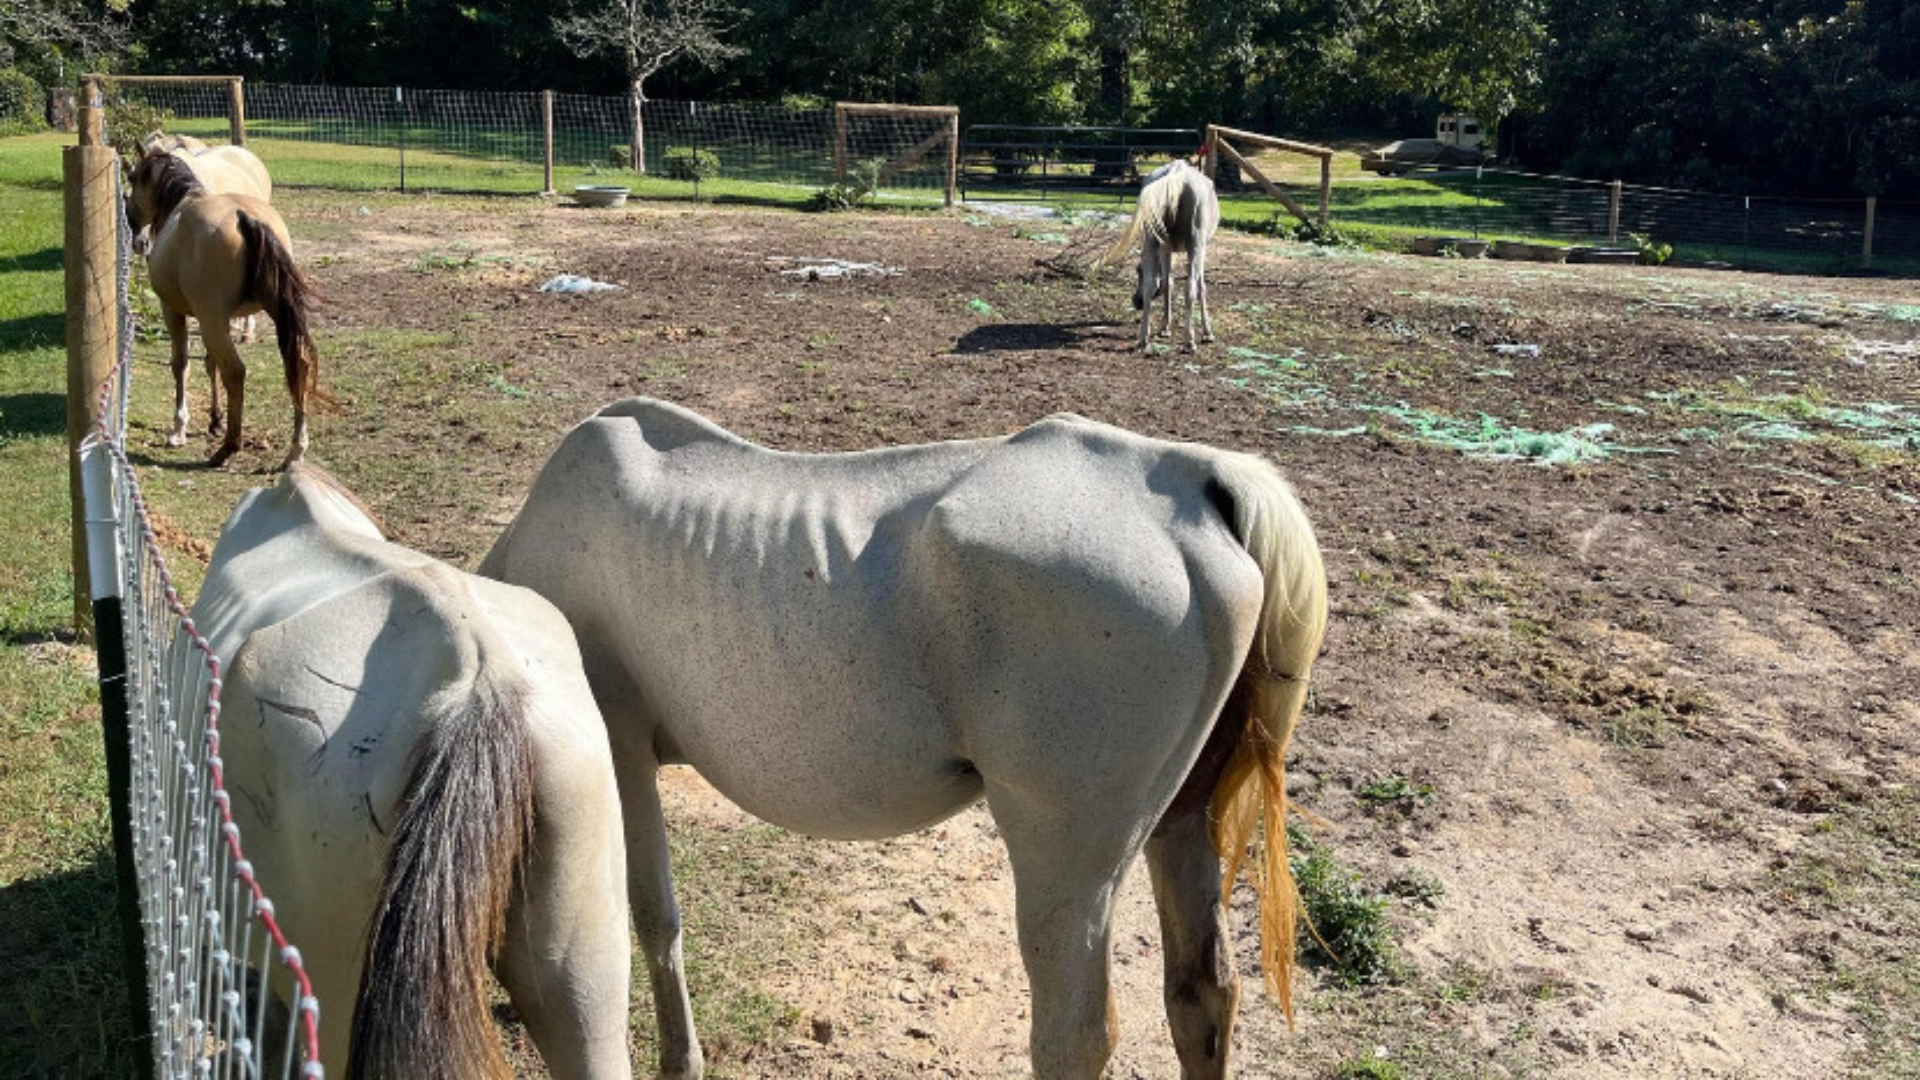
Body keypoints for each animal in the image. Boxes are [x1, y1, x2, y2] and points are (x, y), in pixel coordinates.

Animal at [130, 145, 322, 465]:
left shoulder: (176, 312)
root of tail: (245, 217)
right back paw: (296, 448)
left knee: (235, 371)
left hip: (211, 321)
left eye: (132, 177)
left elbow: (181, 365)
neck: (184, 197)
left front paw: (179, 428)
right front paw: (215, 420)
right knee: (299, 365)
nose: (132, 221)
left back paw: (229, 447)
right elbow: (210, 364)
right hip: (263, 315)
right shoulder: (220, 319)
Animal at [480, 397, 1328, 1076]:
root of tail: (1191, 478)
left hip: (1071, 864)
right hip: (1181, 822)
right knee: (1201, 995)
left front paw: (680, 1062)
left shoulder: (623, 754)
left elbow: (655, 920)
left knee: (1076, 1037)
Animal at [1105, 158, 1221, 349]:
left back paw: (1143, 338)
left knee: (1151, 284)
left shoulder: (1166, 248)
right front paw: (1208, 333)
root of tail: (1176, 173)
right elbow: (1201, 287)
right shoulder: (1200, 248)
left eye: (1138, 270)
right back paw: (1189, 340)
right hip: (1195, 245)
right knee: (1190, 287)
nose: (1136, 302)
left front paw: (1164, 328)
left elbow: (1167, 283)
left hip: (1151, 240)